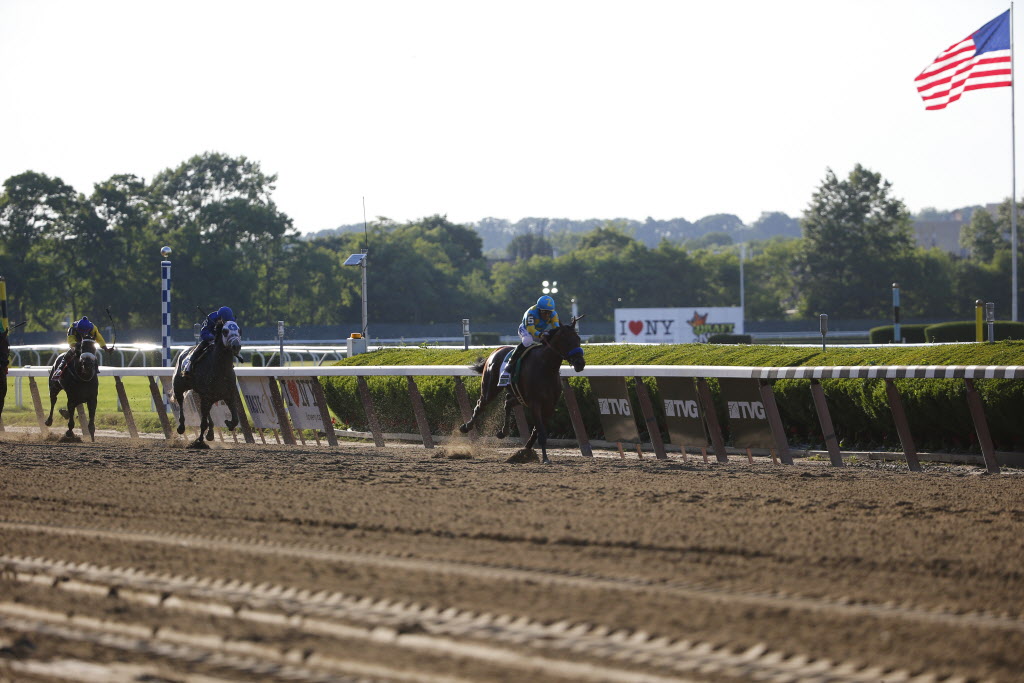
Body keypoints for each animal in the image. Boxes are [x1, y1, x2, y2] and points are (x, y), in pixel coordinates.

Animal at [462, 315, 585, 464]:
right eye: (565, 341)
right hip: (490, 389)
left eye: (578, 339)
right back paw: (466, 427)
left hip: (519, 396)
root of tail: (495, 351)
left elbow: (537, 431)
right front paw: (544, 458)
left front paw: (525, 451)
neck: (546, 368)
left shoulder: (549, 406)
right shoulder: (535, 403)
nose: (580, 363)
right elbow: (540, 432)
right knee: (481, 405)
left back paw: (503, 432)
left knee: (508, 402)